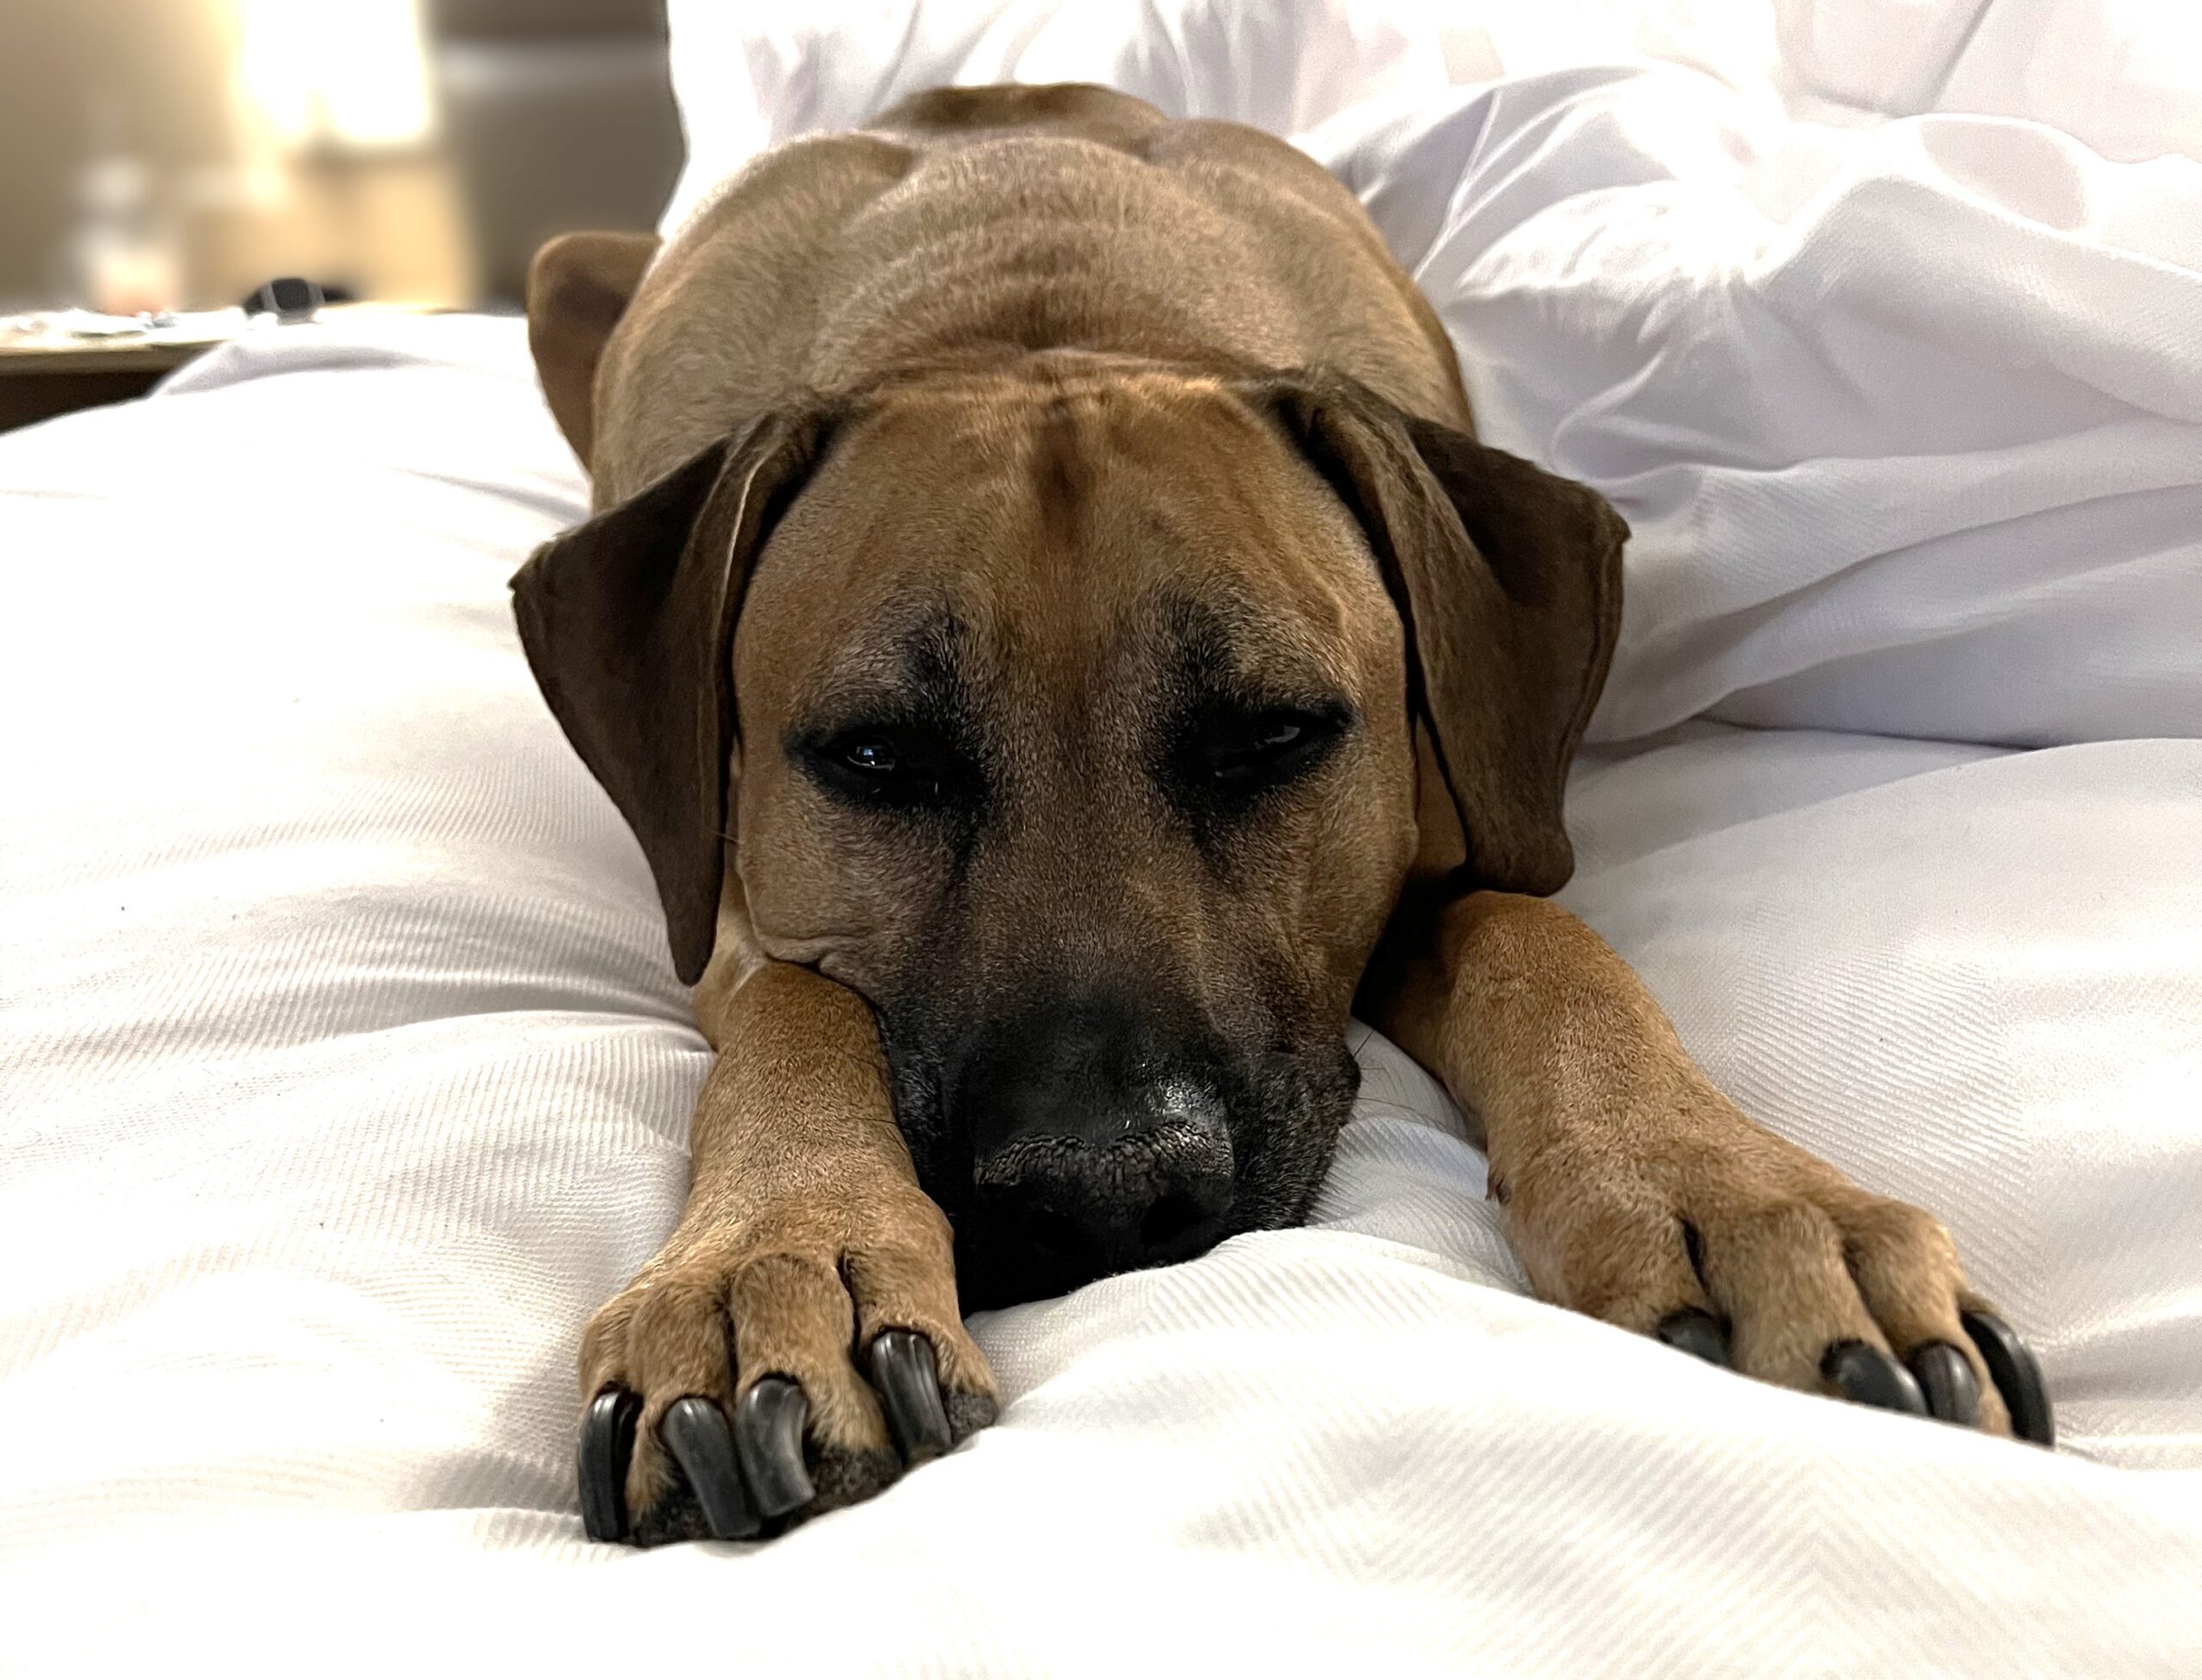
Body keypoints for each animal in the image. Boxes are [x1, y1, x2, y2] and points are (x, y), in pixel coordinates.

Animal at [510, 85, 2043, 1541]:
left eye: (1272, 734)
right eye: (880, 757)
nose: (1109, 1194)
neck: (1032, 299)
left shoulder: (1450, 829)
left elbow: (1540, 935)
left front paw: (1737, 1196)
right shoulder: (730, 912)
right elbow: (795, 998)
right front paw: (771, 1263)